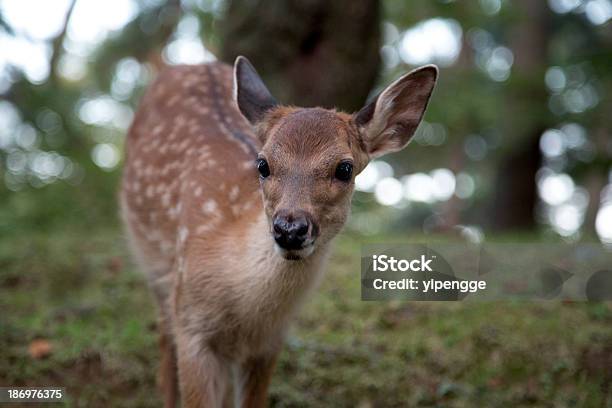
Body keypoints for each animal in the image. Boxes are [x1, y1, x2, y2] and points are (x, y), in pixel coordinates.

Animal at [120, 55, 436, 408]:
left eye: (345, 168)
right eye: (263, 165)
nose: (290, 229)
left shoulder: (269, 342)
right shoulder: (190, 323)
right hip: (156, 272)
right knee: (164, 340)